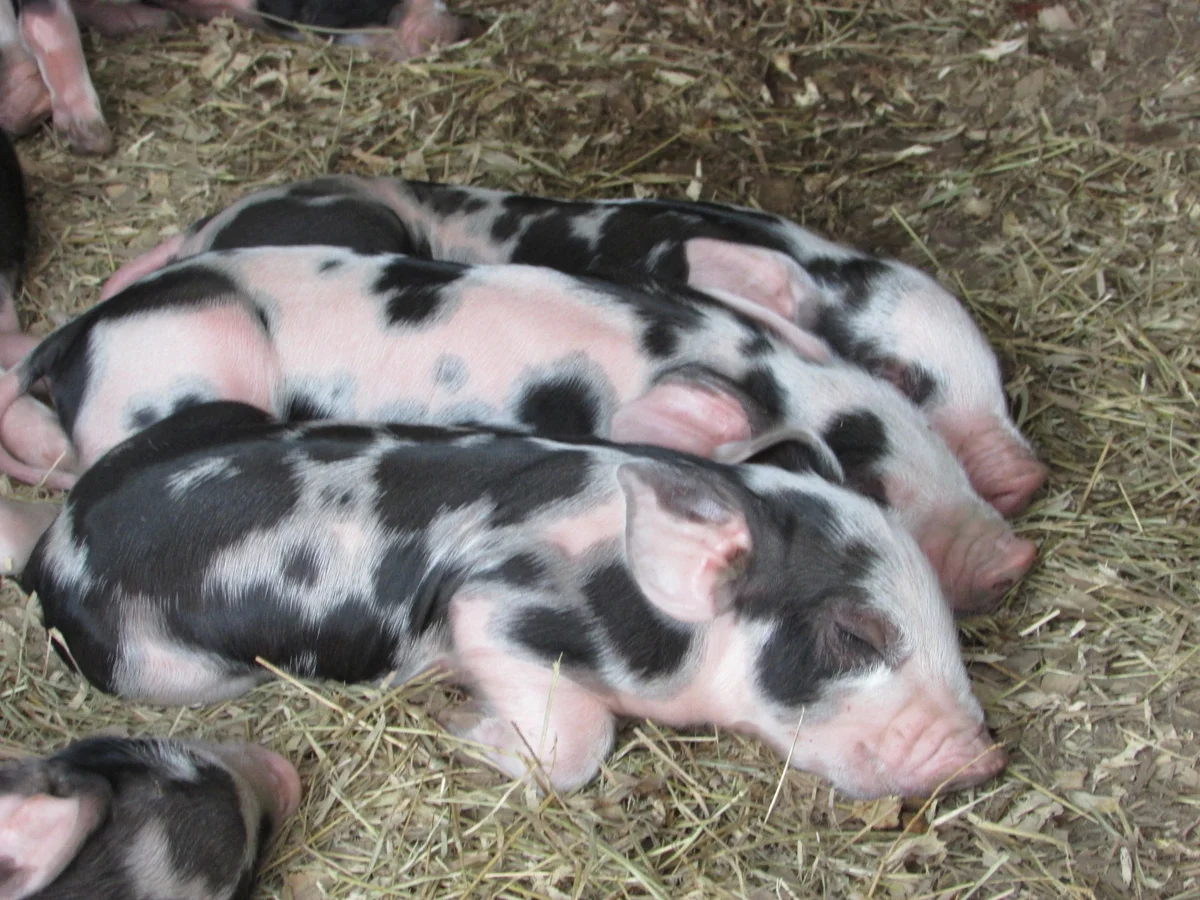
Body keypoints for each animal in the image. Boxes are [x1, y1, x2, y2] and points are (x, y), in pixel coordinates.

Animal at [23, 400, 1007, 799]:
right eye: (855, 635)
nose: (984, 756)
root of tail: (54, 546)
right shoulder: (495, 604)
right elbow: (579, 736)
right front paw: (464, 728)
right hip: (166, 671)